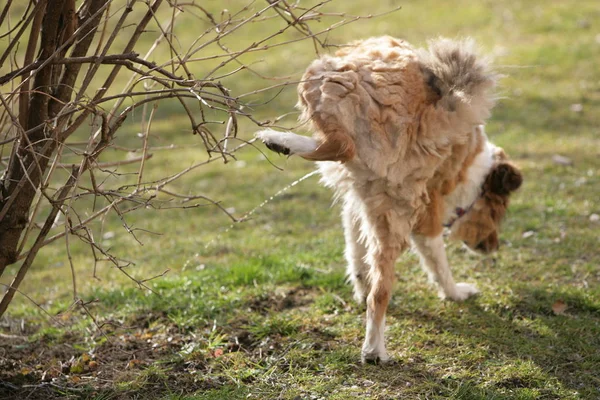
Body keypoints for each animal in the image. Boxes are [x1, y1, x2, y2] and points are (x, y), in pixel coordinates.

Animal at [255, 36, 524, 362]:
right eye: (498, 211)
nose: (493, 248)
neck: (469, 169)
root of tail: (422, 118)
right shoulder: (424, 218)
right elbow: (439, 268)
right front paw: (456, 293)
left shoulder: (362, 202)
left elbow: (356, 252)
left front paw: (361, 285)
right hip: (324, 77)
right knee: (340, 147)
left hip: (324, 84)